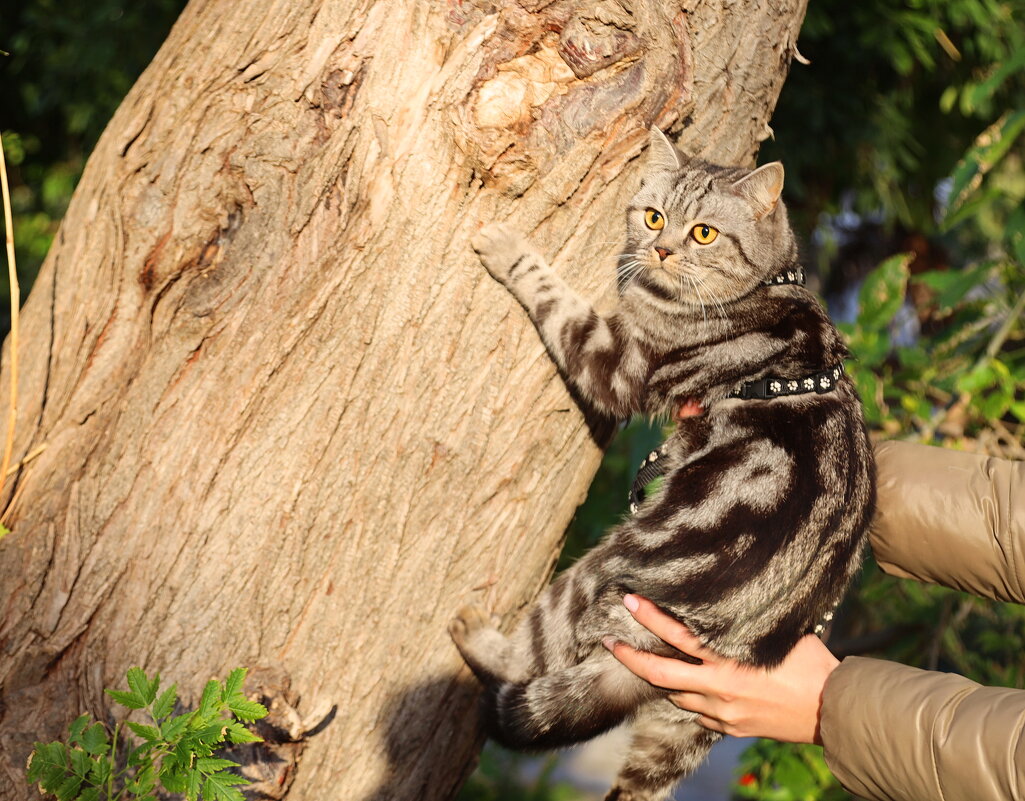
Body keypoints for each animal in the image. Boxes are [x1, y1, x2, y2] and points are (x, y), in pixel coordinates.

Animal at [453, 128, 877, 795]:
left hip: (603, 570)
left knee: (530, 653)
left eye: (703, 233)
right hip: (676, 730)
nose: (658, 250)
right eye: (653, 217)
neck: (767, 285)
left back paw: (476, 636)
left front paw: (507, 248)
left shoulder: (615, 359)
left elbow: (556, 300)